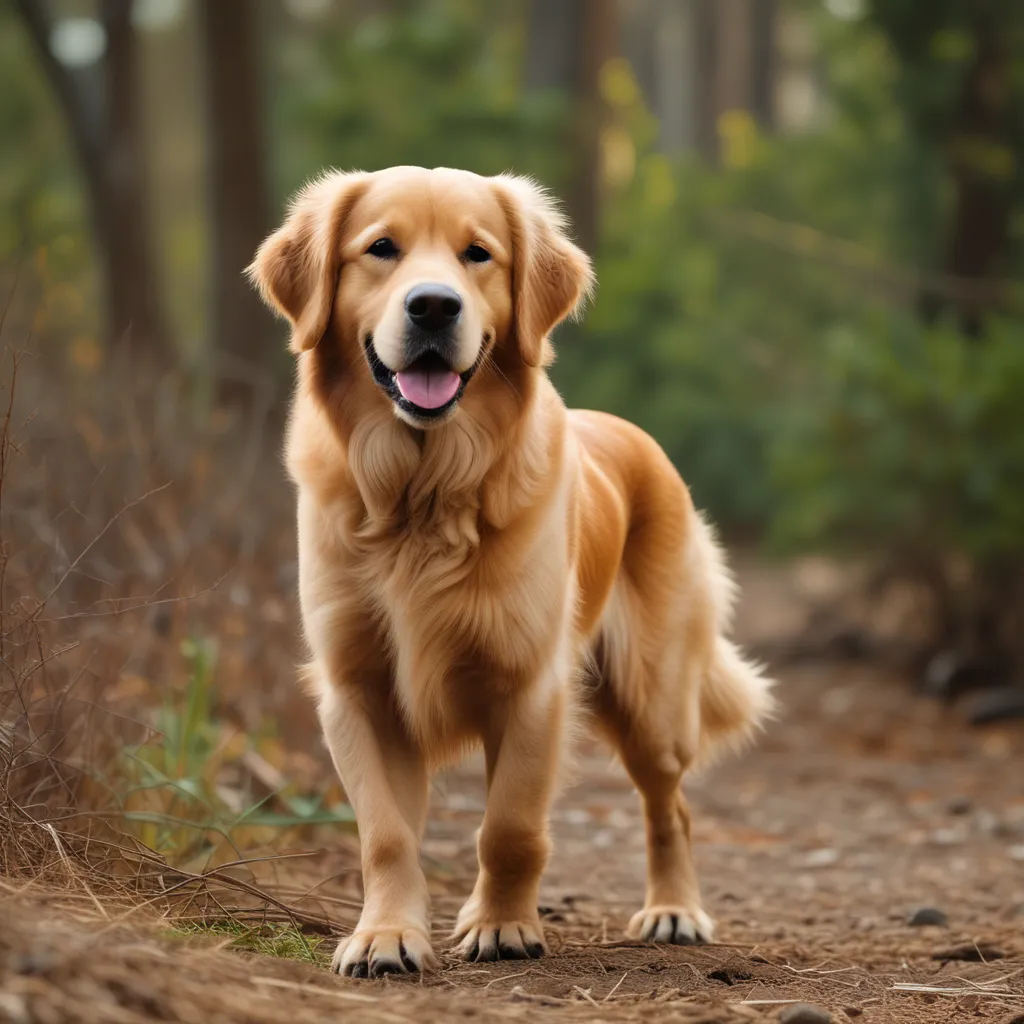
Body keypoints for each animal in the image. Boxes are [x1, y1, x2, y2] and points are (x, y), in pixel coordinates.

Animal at [249, 165, 774, 974]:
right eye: (381, 248)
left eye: (478, 254)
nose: (434, 305)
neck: (425, 494)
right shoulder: (356, 687)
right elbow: (386, 834)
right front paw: (386, 935)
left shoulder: (529, 684)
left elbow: (510, 828)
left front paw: (502, 926)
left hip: (653, 698)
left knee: (671, 806)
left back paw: (673, 910)